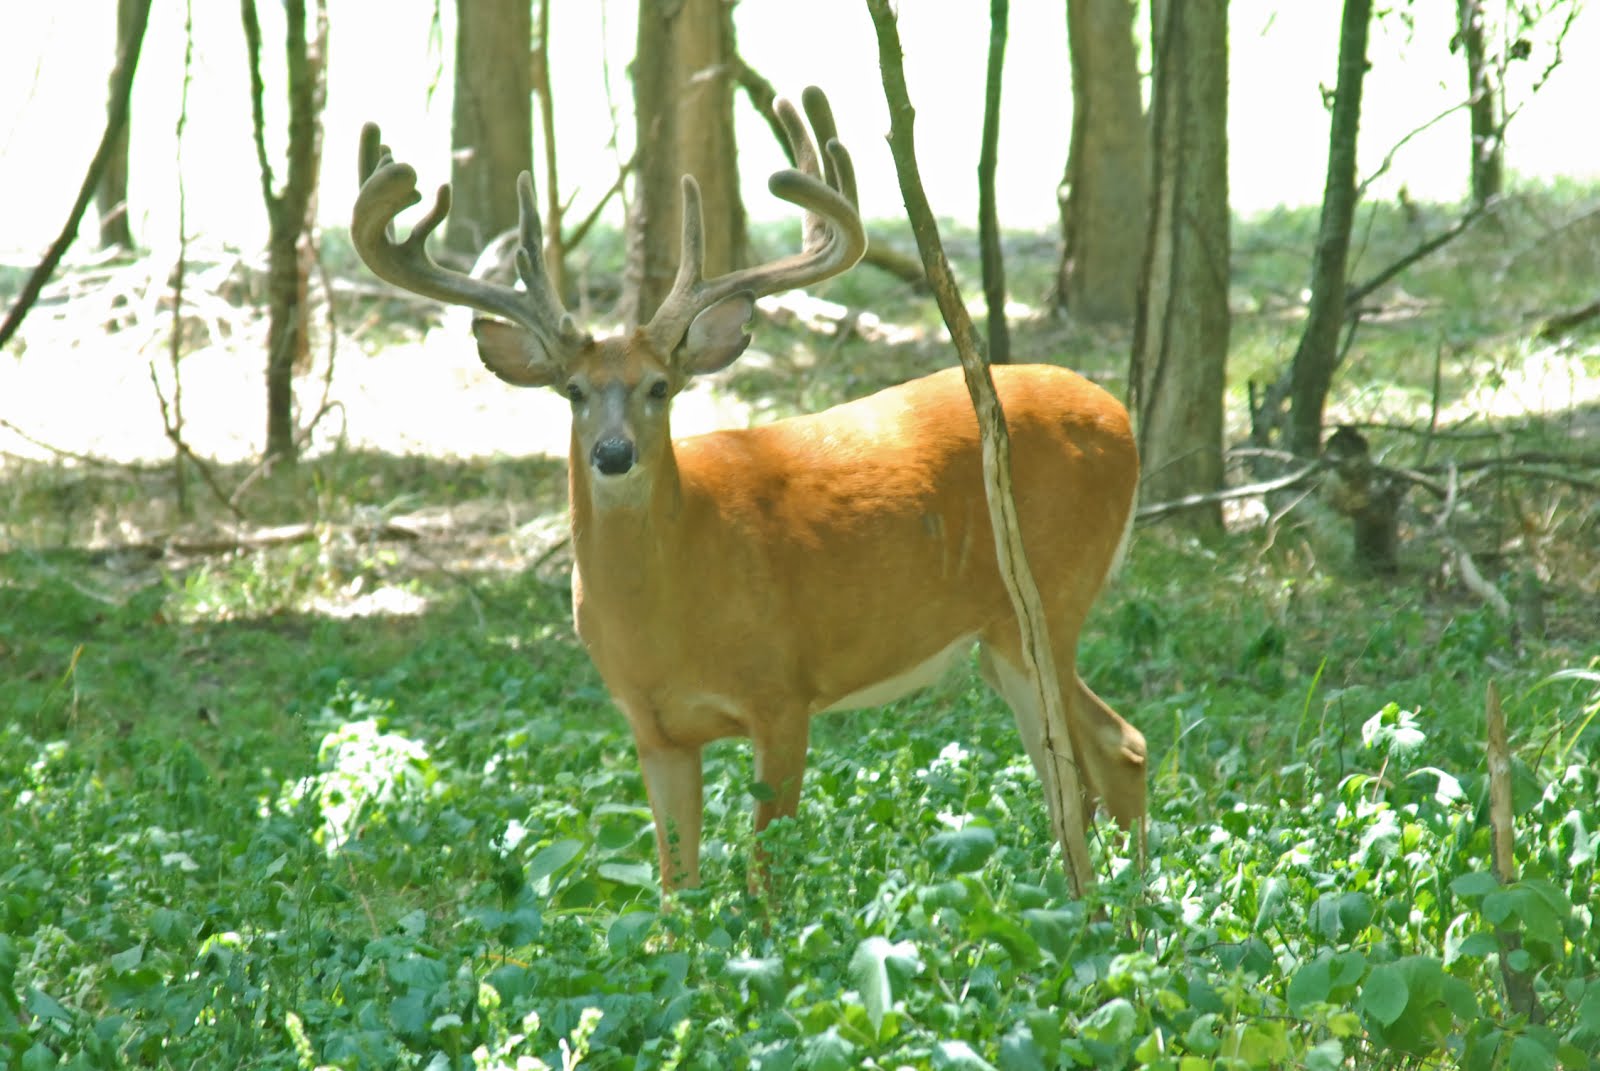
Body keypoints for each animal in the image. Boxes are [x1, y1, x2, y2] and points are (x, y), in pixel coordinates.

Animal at [351, 87, 1147, 892]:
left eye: (659, 387)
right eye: (572, 391)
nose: (613, 454)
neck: (673, 608)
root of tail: (1120, 415)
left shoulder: (783, 692)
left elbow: (767, 873)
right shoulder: (652, 726)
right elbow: (675, 888)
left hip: (1044, 600)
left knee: (1112, 748)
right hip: (999, 634)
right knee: (1087, 763)